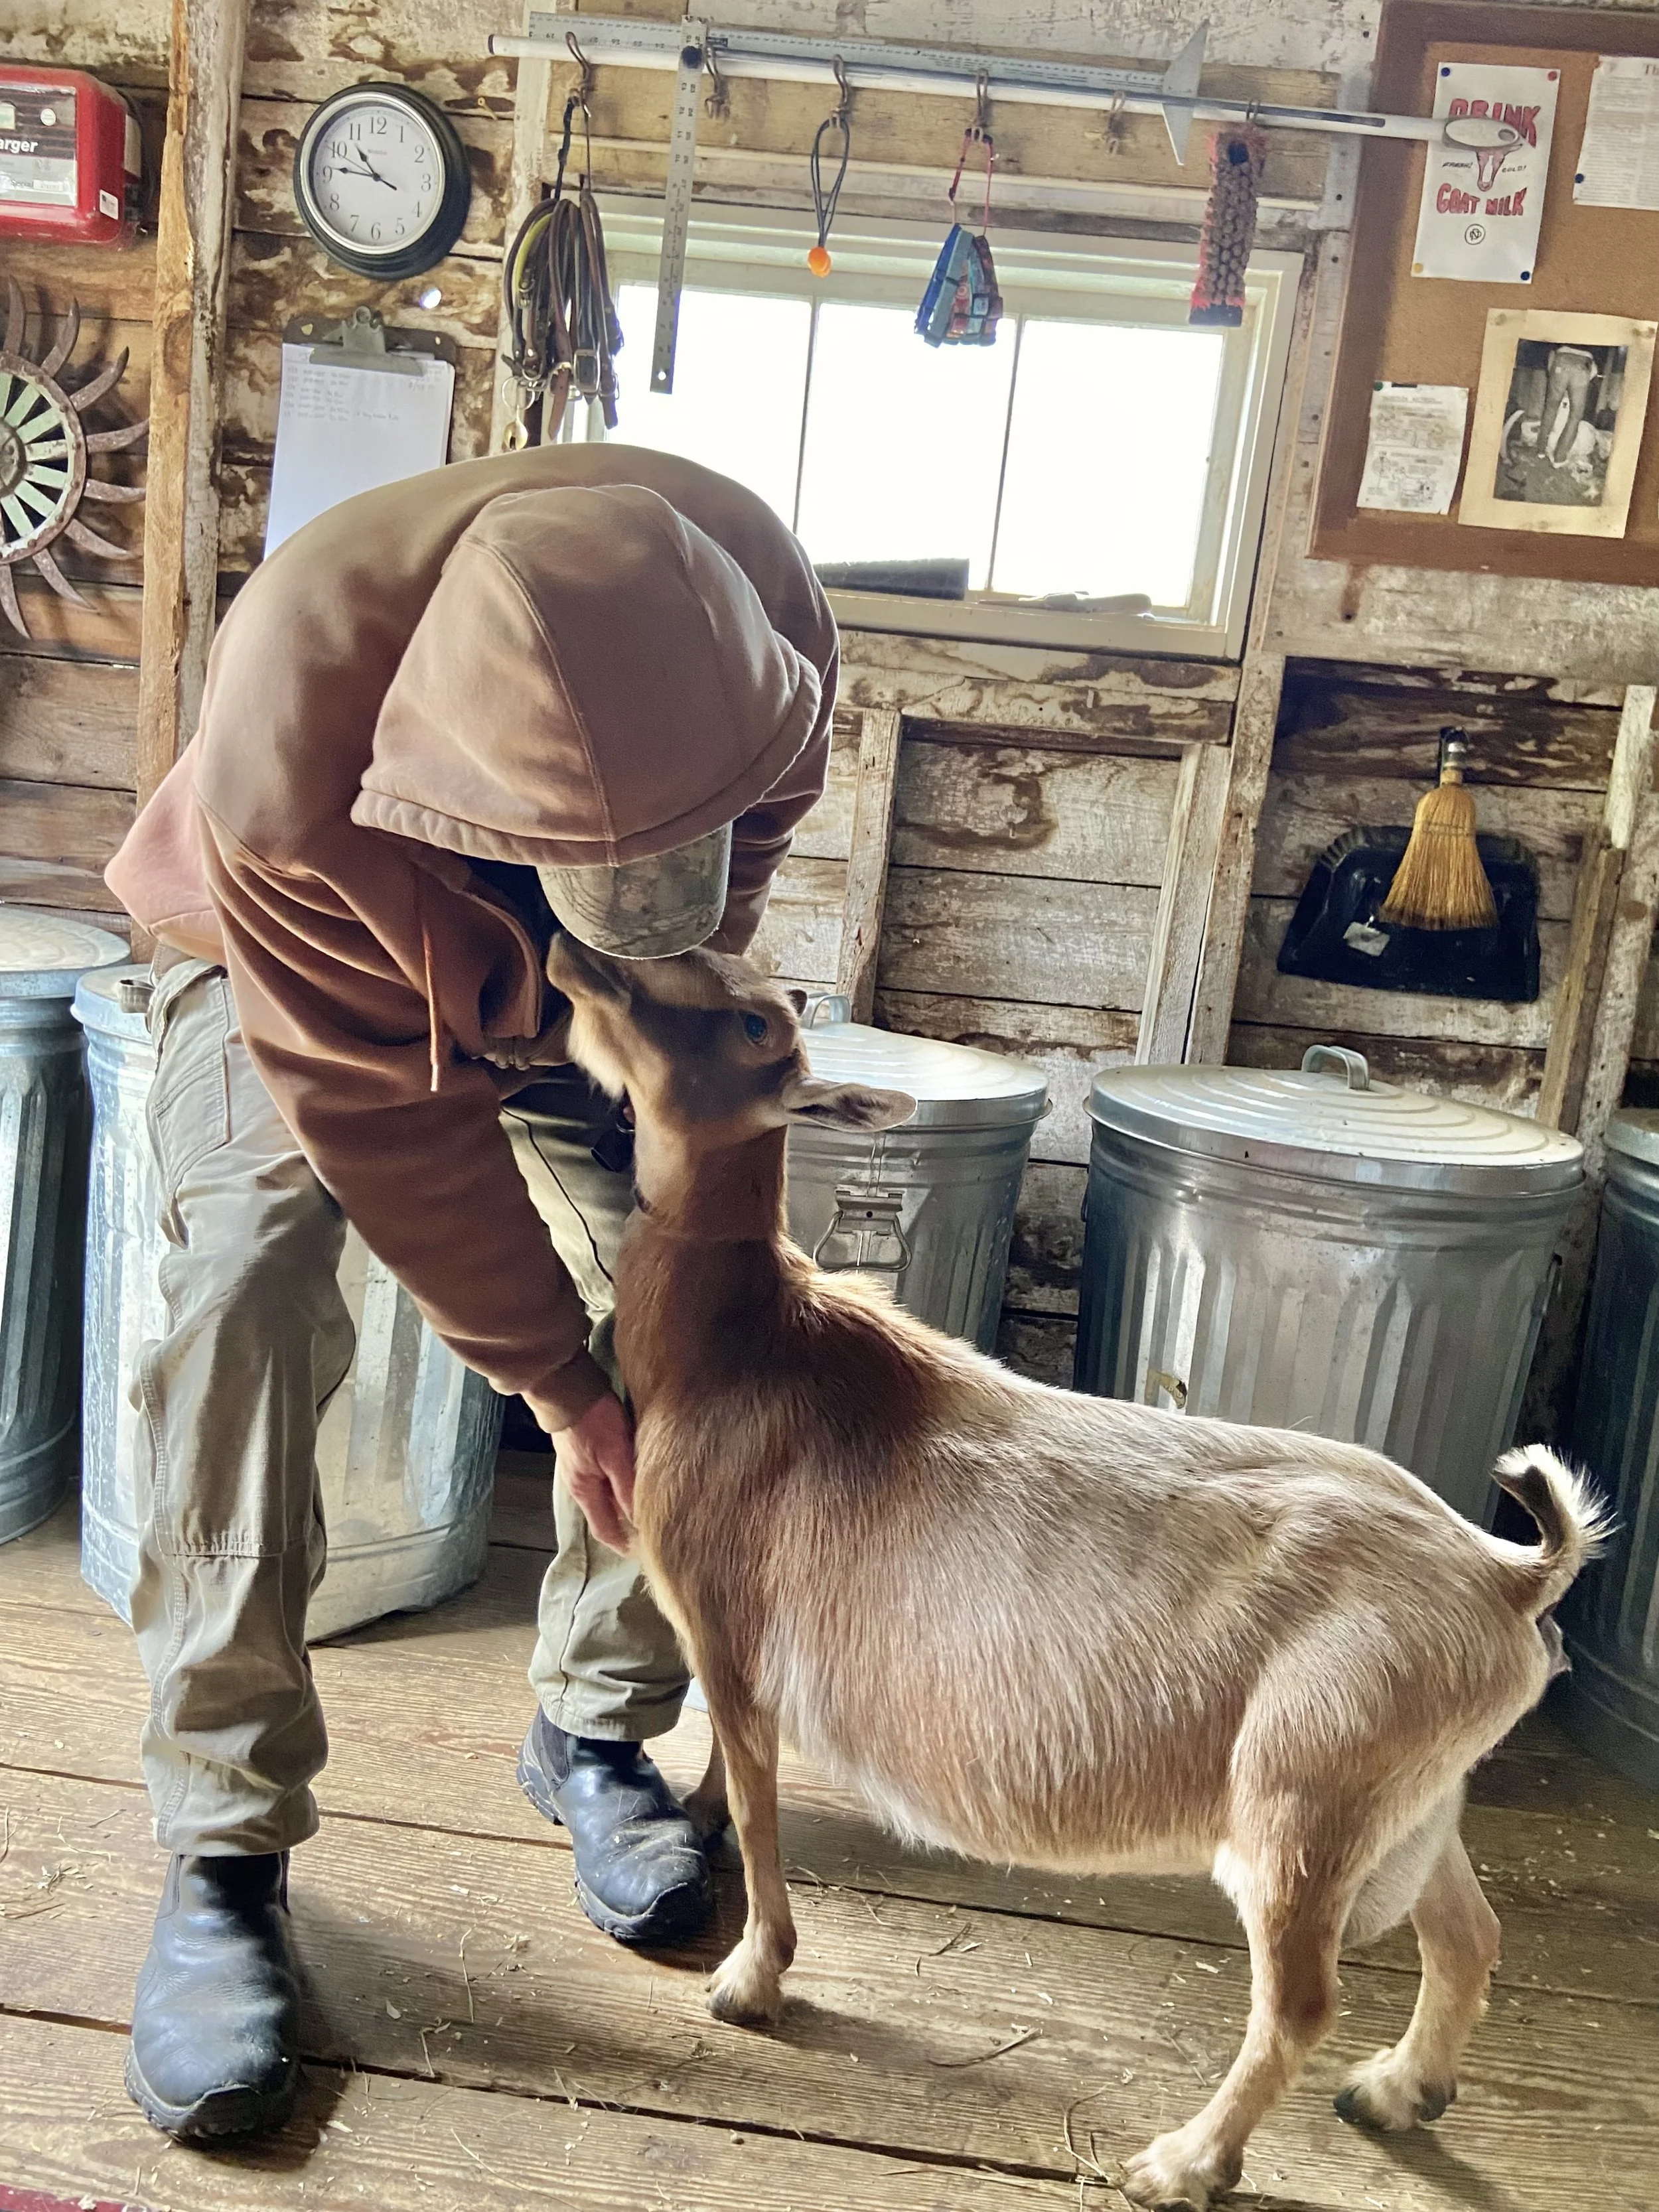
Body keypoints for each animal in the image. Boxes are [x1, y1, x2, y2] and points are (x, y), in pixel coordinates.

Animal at [549, 935, 1604, 2212]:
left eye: (754, 1022)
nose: (584, 954)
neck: (745, 1341)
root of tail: (1512, 1575)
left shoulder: (734, 1630)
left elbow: (758, 1810)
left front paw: (752, 1979)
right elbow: (723, 1781)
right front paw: (698, 1827)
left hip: (1303, 1798)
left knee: (1302, 2000)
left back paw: (1185, 2160)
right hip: (1407, 1796)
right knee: (1466, 1932)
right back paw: (1400, 2089)